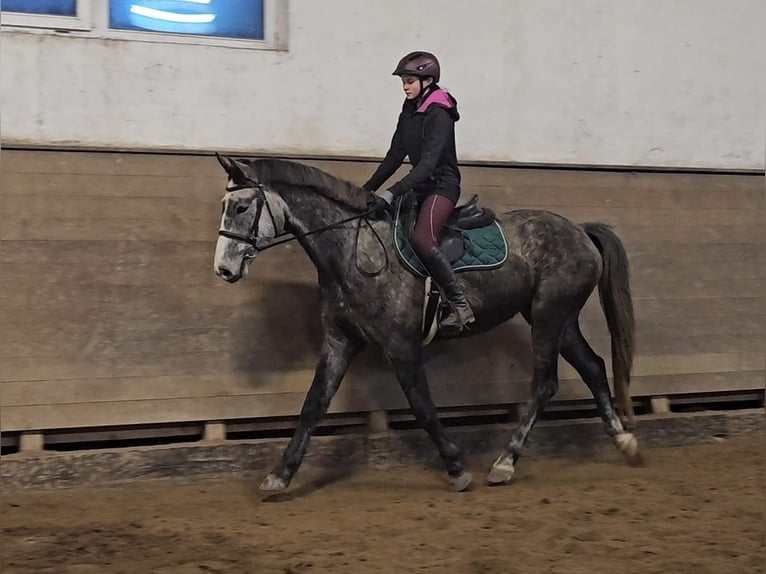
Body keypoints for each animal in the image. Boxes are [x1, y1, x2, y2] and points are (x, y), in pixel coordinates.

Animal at [212, 154, 640, 496]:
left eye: (241, 207)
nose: (224, 269)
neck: (355, 250)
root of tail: (579, 230)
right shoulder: (339, 341)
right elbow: (313, 406)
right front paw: (279, 476)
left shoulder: (400, 345)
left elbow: (423, 407)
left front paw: (457, 469)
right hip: (556, 317)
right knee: (593, 367)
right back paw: (624, 440)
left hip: (549, 316)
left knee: (545, 384)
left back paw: (504, 463)